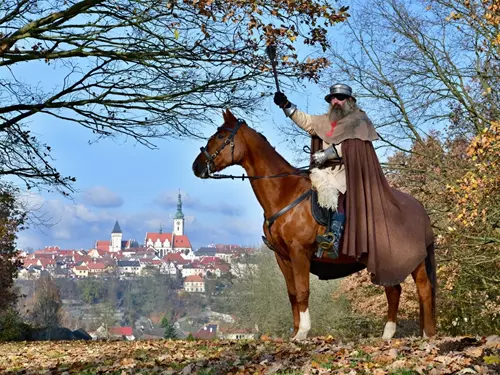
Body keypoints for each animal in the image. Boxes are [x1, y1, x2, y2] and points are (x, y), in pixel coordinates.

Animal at [193, 108, 436, 340]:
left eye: (221, 135)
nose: (197, 166)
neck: (285, 193)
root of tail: (418, 208)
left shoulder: (299, 252)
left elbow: (303, 291)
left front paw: (303, 333)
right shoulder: (283, 257)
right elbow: (292, 294)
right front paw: (294, 333)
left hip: (413, 261)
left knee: (423, 289)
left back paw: (428, 334)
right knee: (393, 290)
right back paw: (387, 335)